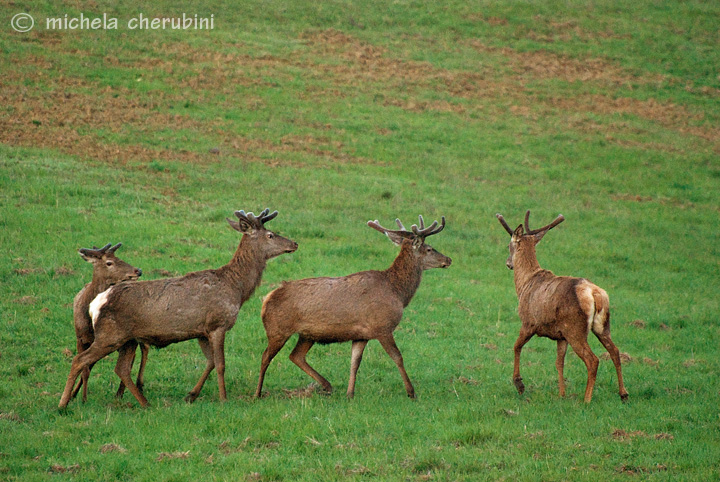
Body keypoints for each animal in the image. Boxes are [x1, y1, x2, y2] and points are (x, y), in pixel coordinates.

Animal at [256, 215, 450, 400]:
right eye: (429, 248)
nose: (448, 259)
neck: (398, 293)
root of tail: (267, 298)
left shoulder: (361, 335)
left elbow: (355, 362)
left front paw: (350, 394)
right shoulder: (383, 327)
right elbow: (398, 357)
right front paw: (411, 392)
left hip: (307, 335)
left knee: (295, 356)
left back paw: (327, 385)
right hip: (278, 329)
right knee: (266, 356)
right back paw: (258, 393)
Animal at [498, 211, 628, 402]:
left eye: (509, 245)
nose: (508, 263)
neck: (524, 285)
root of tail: (595, 294)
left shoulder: (529, 322)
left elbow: (516, 346)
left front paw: (519, 384)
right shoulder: (560, 335)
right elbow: (559, 362)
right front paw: (562, 394)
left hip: (576, 328)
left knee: (593, 360)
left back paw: (586, 399)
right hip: (601, 325)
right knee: (615, 351)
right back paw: (623, 393)